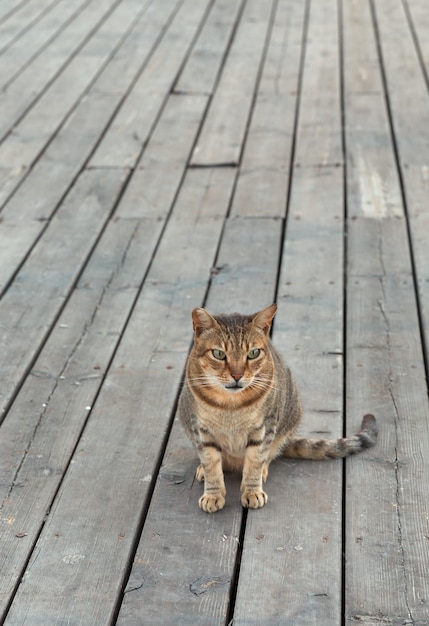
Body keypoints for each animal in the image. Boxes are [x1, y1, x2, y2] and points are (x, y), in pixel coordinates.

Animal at [178, 302, 378, 512]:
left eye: (253, 353)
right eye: (218, 354)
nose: (237, 376)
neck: (231, 406)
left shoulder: (264, 427)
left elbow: (255, 462)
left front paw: (252, 491)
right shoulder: (201, 431)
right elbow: (212, 465)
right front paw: (213, 494)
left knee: (268, 455)